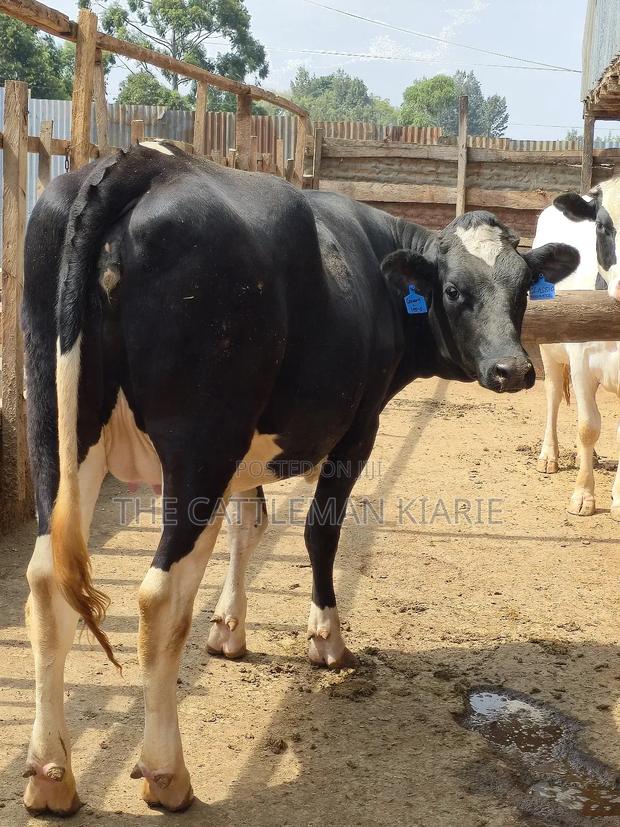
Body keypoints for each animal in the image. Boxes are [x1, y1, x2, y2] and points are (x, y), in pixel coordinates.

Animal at [21, 142, 579, 815]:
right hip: (201, 441)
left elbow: (250, 526)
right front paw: (326, 640)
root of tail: (142, 163)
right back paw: (167, 774)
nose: (512, 369)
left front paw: (228, 631)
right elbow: (319, 533)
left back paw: (50, 775)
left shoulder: (246, 453)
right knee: (159, 596)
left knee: (47, 582)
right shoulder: (357, 430)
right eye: (454, 290)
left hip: (58, 429)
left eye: (523, 289)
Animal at [534, 198, 620, 520]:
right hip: (550, 349)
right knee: (553, 395)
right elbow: (587, 427)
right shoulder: (581, 364)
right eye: (602, 226)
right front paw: (583, 495)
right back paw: (549, 455)